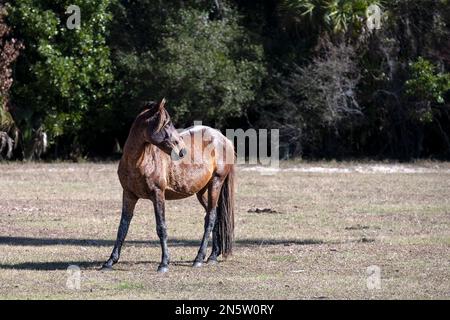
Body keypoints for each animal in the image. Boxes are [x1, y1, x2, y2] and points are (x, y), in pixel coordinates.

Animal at [102, 98, 236, 272]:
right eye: (166, 124)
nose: (182, 151)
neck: (139, 162)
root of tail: (223, 139)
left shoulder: (158, 194)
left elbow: (161, 227)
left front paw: (164, 263)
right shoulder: (129, 195)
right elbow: (122, 228)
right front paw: (110, 261)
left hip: (216, 184)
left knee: (211, 218)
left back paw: (199, 258)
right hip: (202, 192)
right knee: (215, 216)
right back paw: (212, 255)